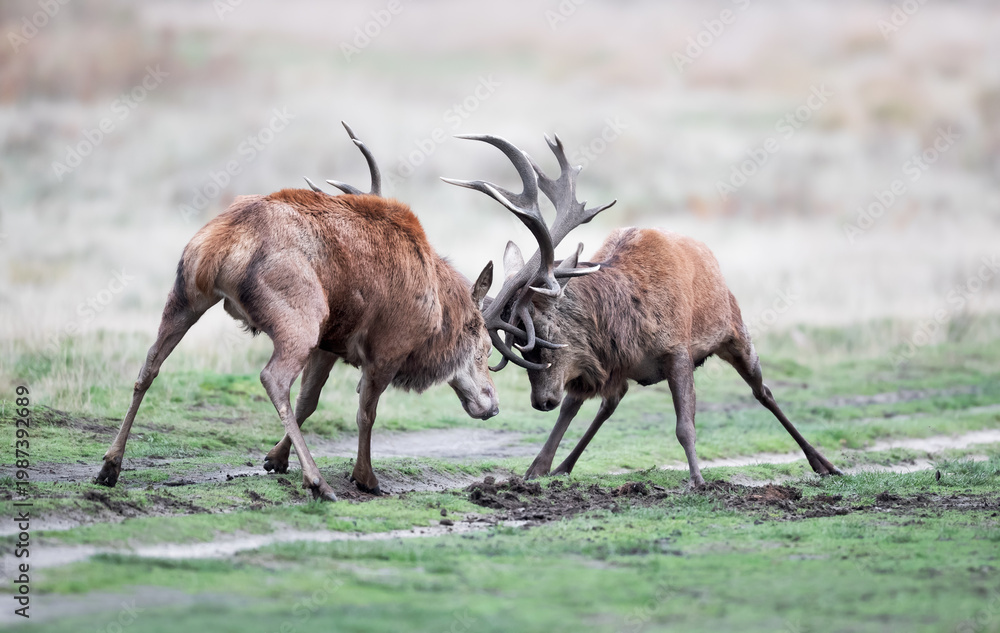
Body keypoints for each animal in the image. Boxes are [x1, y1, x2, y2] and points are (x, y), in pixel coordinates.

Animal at [94, 123, 500, 501]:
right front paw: (365, 478)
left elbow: (309, 400)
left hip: (186, 296)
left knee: (150, 364)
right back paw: (318, 482)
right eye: (483, 348)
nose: (493, 405)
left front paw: (276, 458)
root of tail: (226, 240)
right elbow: (365, 413)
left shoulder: (330, 342)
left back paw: (110, 466)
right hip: (301, 318)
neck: (439, 310)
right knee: (272, 377)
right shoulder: (385, 351)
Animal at [444, 133, 842, 487]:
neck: (624, 322)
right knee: (607, 404)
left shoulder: (677, 350)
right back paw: (562, 467)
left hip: (736, 331)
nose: (540, 402)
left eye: (542, 336)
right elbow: (572, 409)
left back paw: (824, 463)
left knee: (764, 392)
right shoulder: (600, 362)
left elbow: (685, 424)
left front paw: (698, 479)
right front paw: (536, 470)